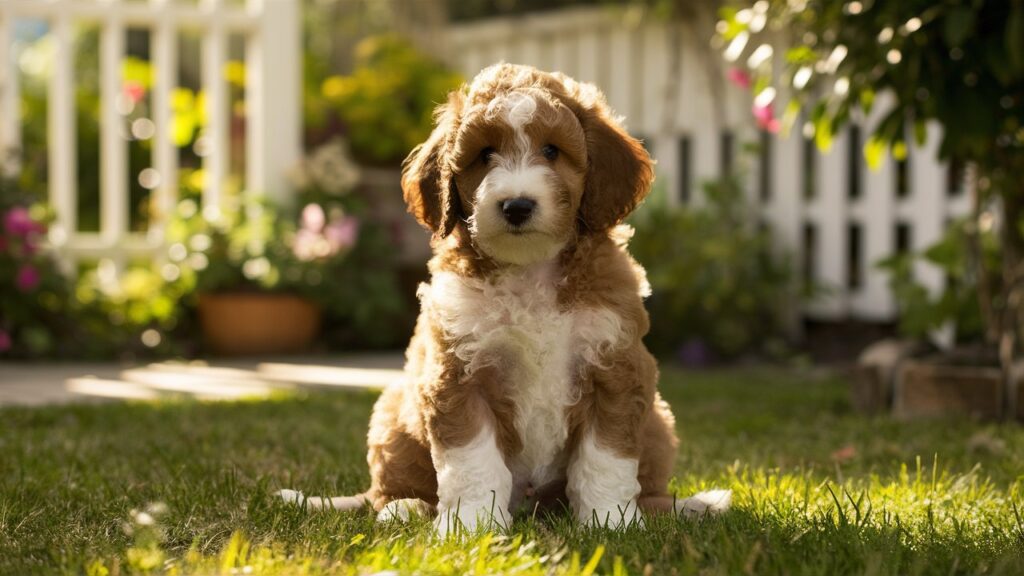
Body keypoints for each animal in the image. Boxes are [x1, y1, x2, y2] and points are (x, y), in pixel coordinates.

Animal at [280, 62, 729, 532]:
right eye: (484, 155)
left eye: (552, 151)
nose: (517, 206)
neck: (530, 267)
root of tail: (535, 507)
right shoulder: (458, 375)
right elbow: (472, 461)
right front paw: (469, 526)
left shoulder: (616, 368)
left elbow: (606, 458)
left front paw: (610, 523)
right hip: (394, 417)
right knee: (384, 491)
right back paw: (404, 507)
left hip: (658, 423)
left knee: (650, 484)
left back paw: (686, 506)